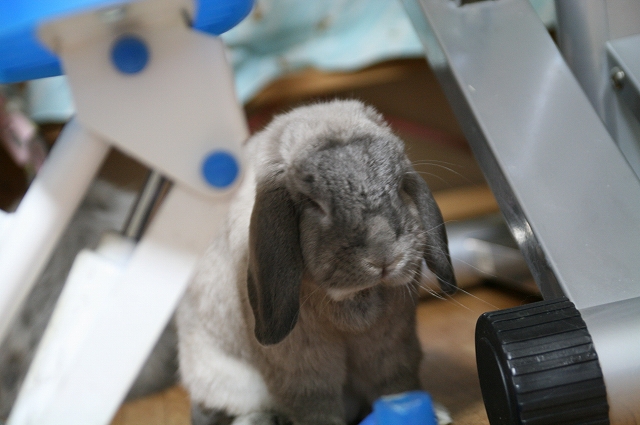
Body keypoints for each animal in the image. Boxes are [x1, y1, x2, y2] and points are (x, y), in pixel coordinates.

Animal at [176, 99, 456, 425]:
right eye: (314, 204)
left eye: (400, 186)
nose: (384, 256)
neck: (354, 299)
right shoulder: (303, 363)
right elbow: (315, 400)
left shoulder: (393, 344)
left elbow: (397, 383)